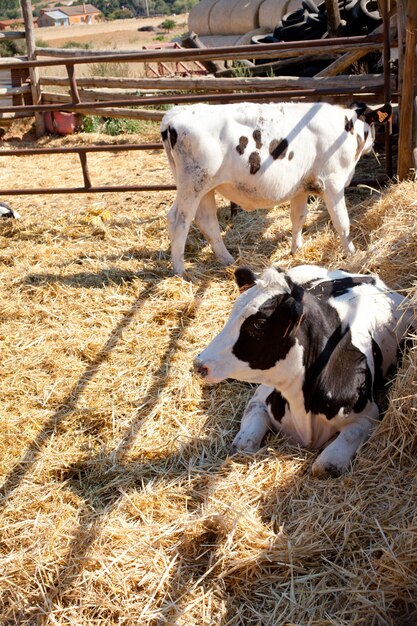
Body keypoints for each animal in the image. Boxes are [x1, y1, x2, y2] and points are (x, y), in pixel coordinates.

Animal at [160, 101, 390, 274]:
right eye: (373, 123)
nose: (374, 144)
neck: (346, 126)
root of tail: (175, 114)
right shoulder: (333, 183)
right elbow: (342, 223)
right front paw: (352, 253)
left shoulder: (301, 187)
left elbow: (298, 217)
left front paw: (296, 250)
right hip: (193, 184)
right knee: (178, 220)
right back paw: (181, 272)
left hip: (205, 188)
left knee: (207, 221)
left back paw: (228, 260)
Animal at [193, 262, 414, 472]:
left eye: (259, 324)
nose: (198, 364)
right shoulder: (261, 397)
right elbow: (243, 444)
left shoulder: (368, 414)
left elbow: (325, 465)